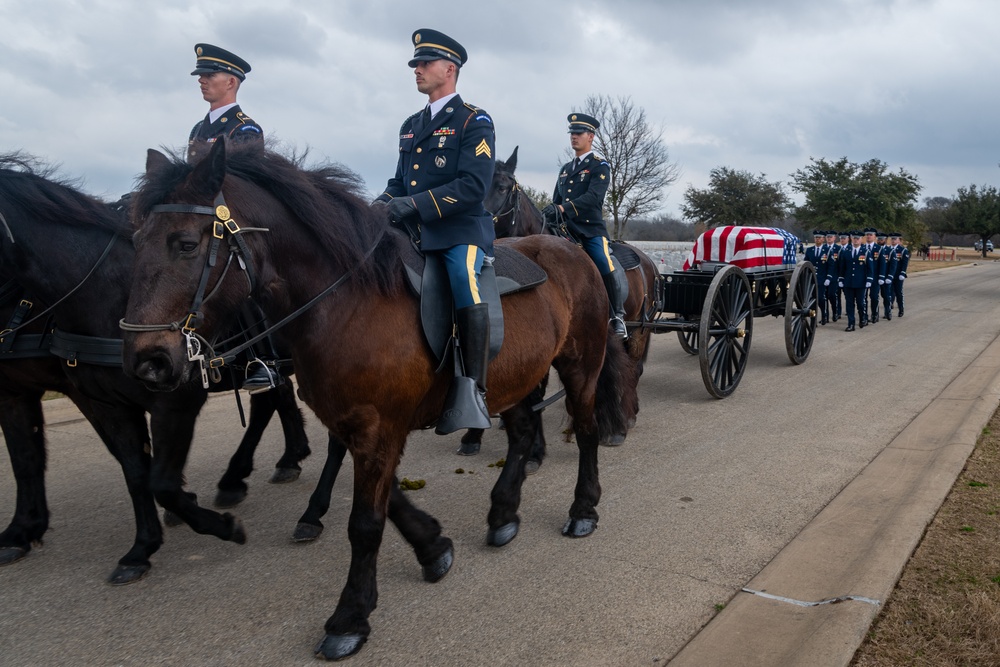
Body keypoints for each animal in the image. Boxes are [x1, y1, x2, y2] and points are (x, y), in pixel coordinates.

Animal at [0, 154, 310, 580]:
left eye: (187, 246)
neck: (99, 291)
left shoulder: (175, 402)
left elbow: (160, 479)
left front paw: (215, 524)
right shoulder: (91, 402)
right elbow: (130, 471)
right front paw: (140, 547)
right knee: (273, 400)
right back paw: (271, 464)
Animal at [119, 142, 632, 664]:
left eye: (186, 243)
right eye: (135, 239)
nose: (148, 361)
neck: (346, 302)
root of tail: (573, 252)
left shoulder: (377, 427)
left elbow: (365, 523)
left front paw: (350, 617)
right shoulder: (360, 424)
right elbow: (391, 501)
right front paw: (434, 547)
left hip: (579, 367)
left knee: (586, 432)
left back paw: (582, 510)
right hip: (519, 377)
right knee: (525, 432)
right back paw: (504, 514)